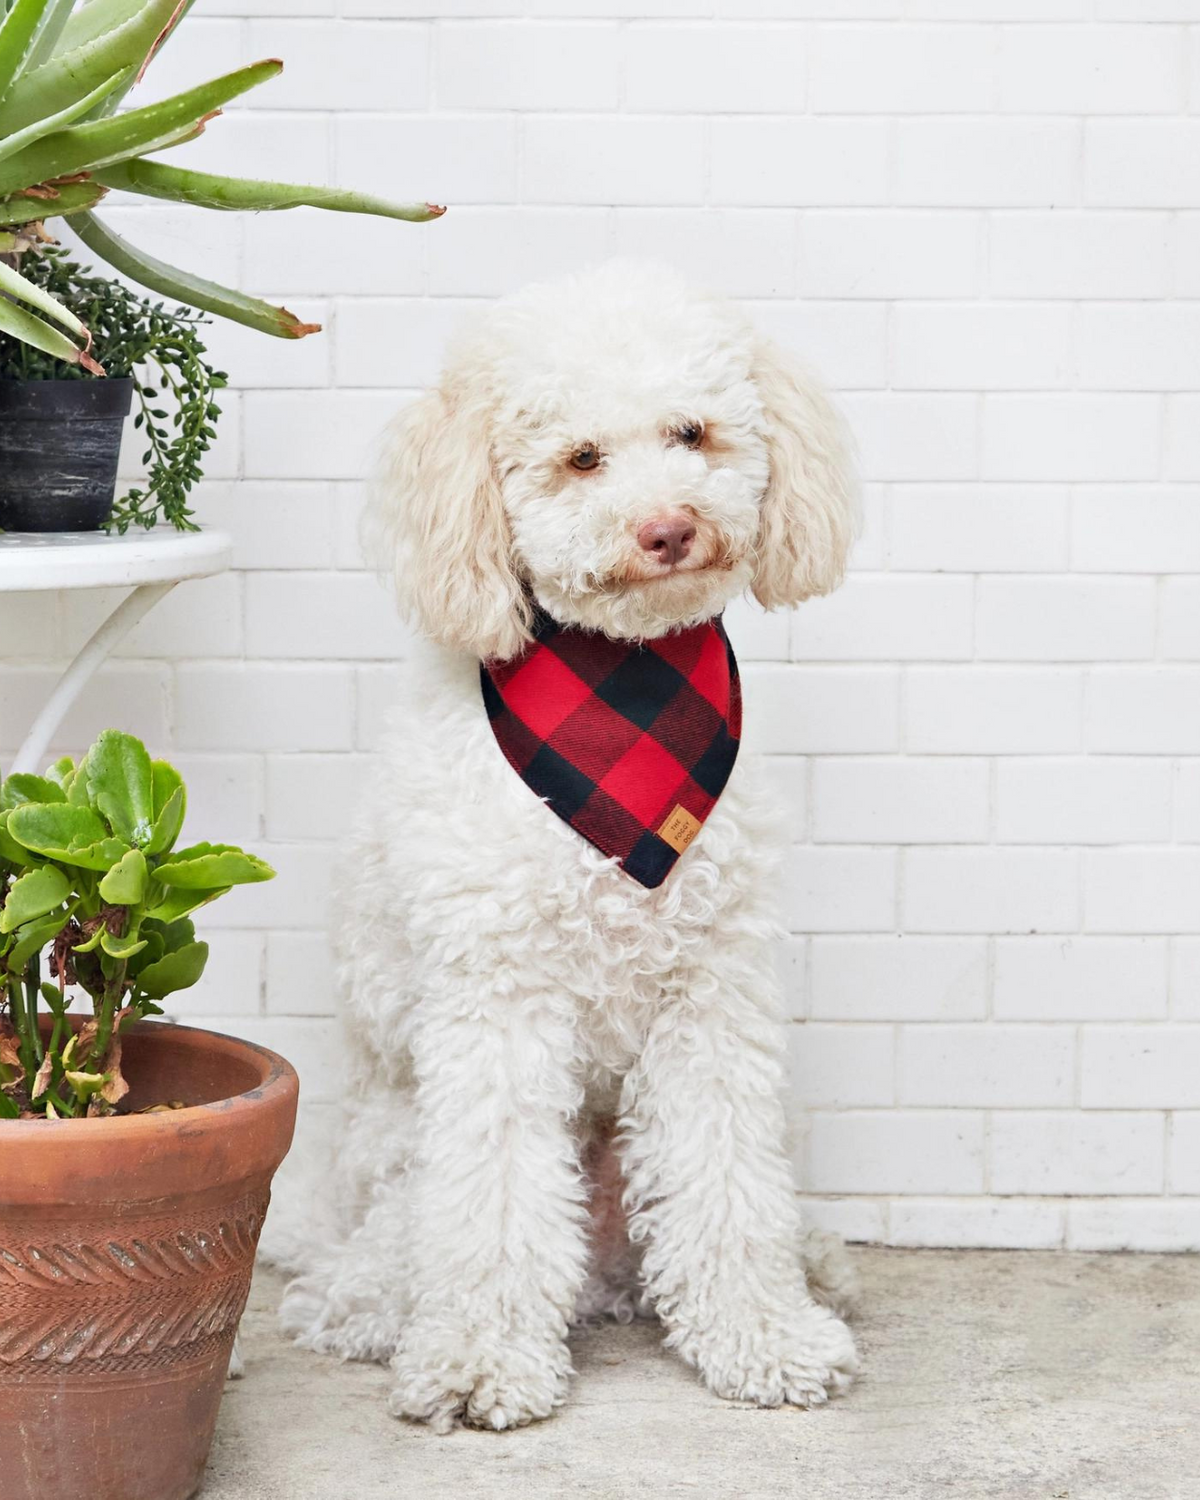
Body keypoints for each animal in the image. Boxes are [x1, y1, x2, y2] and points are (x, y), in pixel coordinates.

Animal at [282, 264, 864, 1434]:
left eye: (692, 433)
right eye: (581, 457)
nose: (669, 528)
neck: (626, 687)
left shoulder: (710, 994)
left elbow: (728, 1178)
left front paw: (764, 1337)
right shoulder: (498, 999)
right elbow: (497, 1198)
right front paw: (476, 1362)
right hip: (397, 1170)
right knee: (378, 1267)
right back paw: (374, 1312)